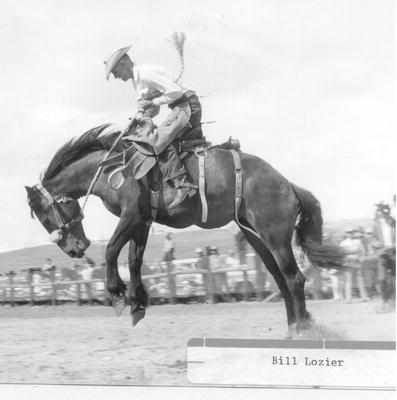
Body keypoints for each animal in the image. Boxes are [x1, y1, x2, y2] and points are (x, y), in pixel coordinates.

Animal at [25, 123, 340, 336]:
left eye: (45, 215)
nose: (74, 249)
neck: (113, 169)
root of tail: (288, 184)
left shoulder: (131, 215)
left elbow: (113, 249)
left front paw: (117, 294)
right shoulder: (142, 221)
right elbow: (134, 259)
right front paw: (137, 304)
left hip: (275, 237)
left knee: (295, 279)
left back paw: (303, 329)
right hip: (257, 238)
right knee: (281, 281)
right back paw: (293, 328)